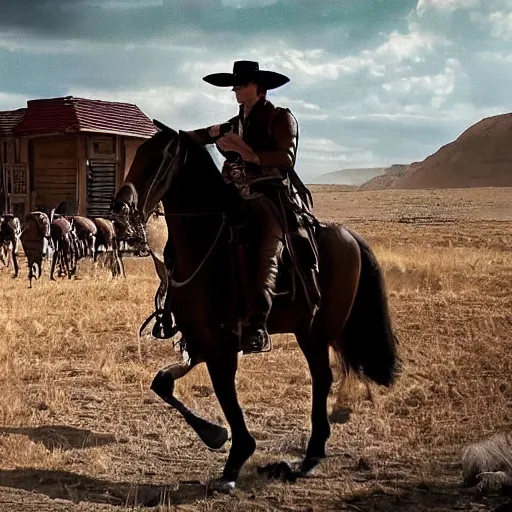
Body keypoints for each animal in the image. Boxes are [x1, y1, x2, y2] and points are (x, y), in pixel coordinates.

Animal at [112, 124, 400, 492]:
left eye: (159, 159)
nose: (120, 208)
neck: (205, 243)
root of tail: (350, 237)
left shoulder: (221, 345)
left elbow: (226, 395)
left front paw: (234, 460)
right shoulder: (203, 338)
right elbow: (162, 383)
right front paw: (214, 435)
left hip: (314, 333)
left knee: (322, 378)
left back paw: (311, 455)